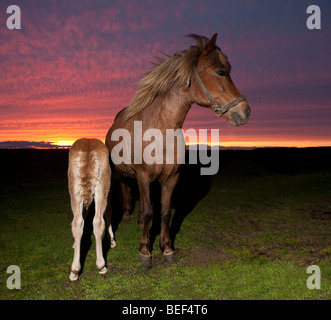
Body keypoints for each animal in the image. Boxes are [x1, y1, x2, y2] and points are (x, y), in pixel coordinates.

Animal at [67, 138, 116, 280]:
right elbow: (109, 212)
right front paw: (111, 240)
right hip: (101, 187)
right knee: (98, 221)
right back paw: (101, 266)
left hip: (75, 188)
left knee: (77, 221)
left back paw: (74, 271)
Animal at [106, 33, 252, 268]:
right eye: (221, 72)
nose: (245, 112)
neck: (160, 131)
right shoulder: (144, 177)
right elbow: (148, 211)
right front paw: (145, 252)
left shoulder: (171, 178)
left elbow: (164, 212)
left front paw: (166, 249)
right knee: (125, 189)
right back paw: (127, 217)